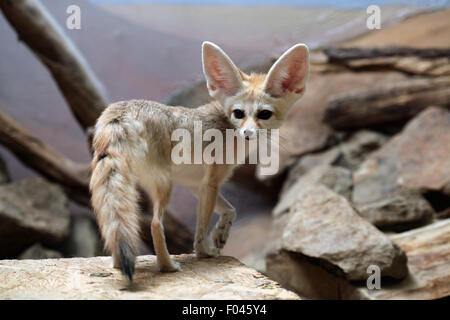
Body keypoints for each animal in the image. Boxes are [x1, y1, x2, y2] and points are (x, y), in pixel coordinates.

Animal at [89, 40, 308, 280]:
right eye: (239, 113)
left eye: (264, 114)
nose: (248, 133)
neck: (228, 126)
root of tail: (121, 112)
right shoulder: (211, 182)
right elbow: (201, 227)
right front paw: (205, 251)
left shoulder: (194, 183)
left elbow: (230, 209)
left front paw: (221, 234)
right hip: (165, 186)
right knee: (155, 224)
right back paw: (167, 266)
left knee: (115, 226)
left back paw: (117, 264)